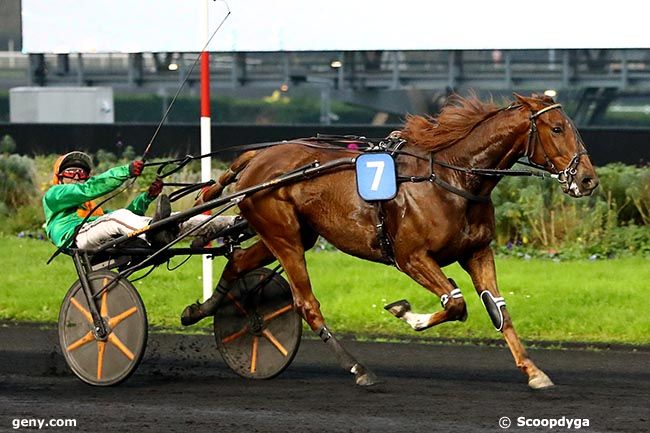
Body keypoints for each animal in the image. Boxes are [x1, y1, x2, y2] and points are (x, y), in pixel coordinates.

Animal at [181, 93, 596, 386]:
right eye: (557, 129)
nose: (589, 179)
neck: (452, 179)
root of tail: (257, 157)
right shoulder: (411, 256)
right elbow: (456, 303)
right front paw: (405, 313)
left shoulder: (478, 252)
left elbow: (499, 310)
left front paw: (533, 371)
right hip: (283, 235)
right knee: (306, 303)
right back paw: (357, 367)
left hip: (290, 234)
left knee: (238, 262)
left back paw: (200, 310)